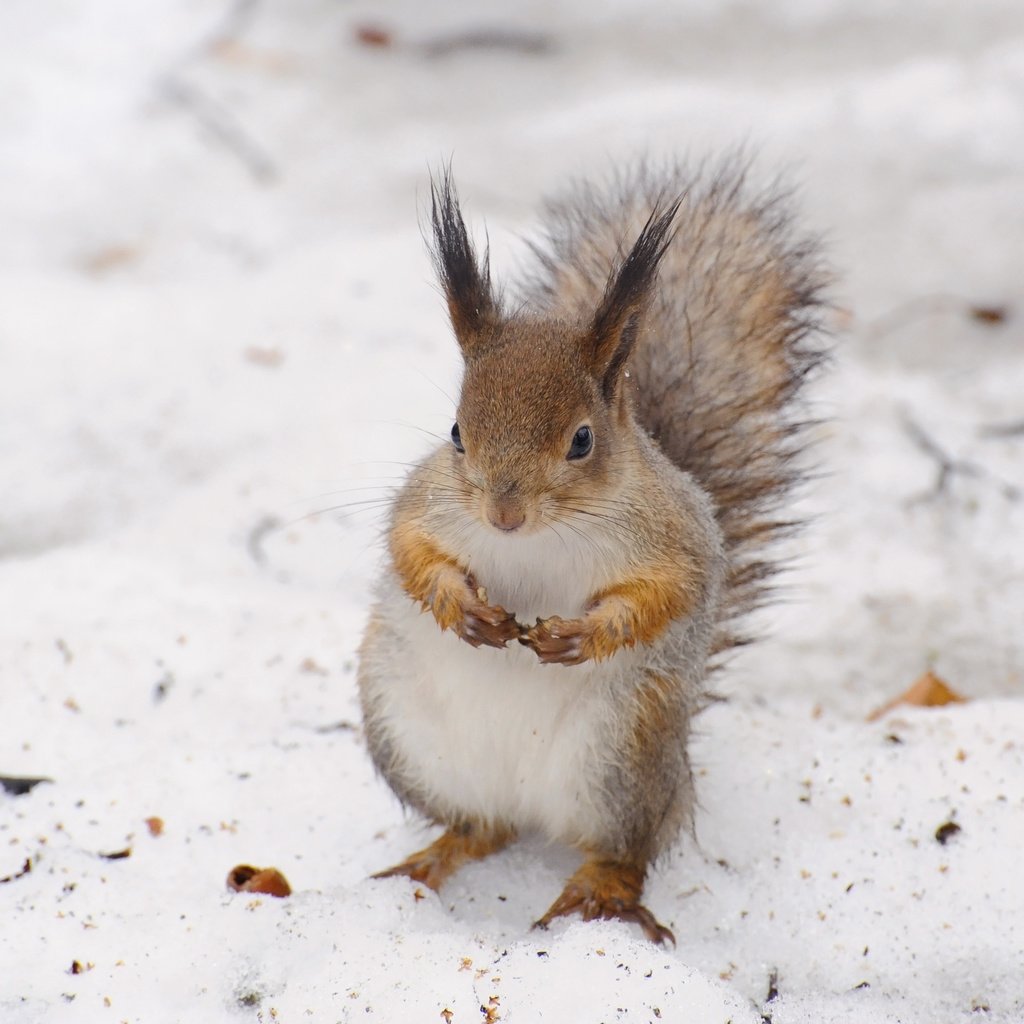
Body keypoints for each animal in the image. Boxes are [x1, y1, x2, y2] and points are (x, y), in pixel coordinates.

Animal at [356, 157, 827, 942]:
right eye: (456, 433)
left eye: (581, 440)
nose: (503, 512)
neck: (538, 540)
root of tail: (526, 803)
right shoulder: (427, 503)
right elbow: (410, 549)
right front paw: (459, 606)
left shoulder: (675, 535)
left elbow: (671, 591)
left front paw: (585, 635)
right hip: (407, 737)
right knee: (480, 827)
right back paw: (429, 861)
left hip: (623, 756)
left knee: (626, 849)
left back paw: (599, 893)